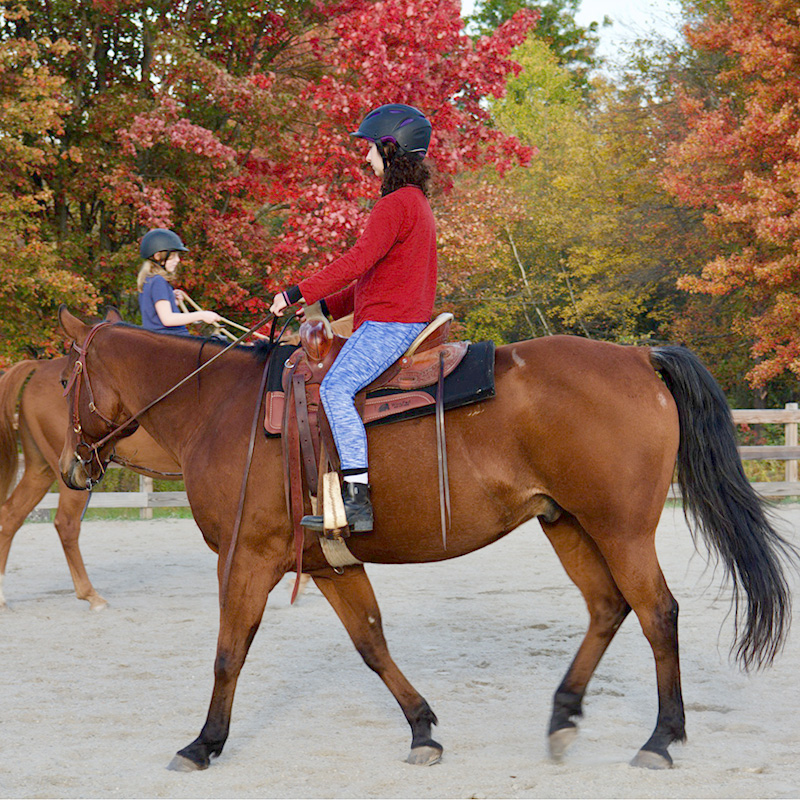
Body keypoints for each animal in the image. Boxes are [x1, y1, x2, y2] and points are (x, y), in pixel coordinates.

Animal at [56, 304, 792, 768]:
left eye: (64, 381)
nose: (71, 467)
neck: (219, 407)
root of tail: (641, 359)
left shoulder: (247, 557)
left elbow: (228, 652)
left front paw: (204, 743)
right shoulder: (329, 562)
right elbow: (372, 643)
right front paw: (421, 729)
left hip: (622, 529)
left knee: (657, 612)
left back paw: (661, 738)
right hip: (568, 524)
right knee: (609, 609)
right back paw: (563, 715)